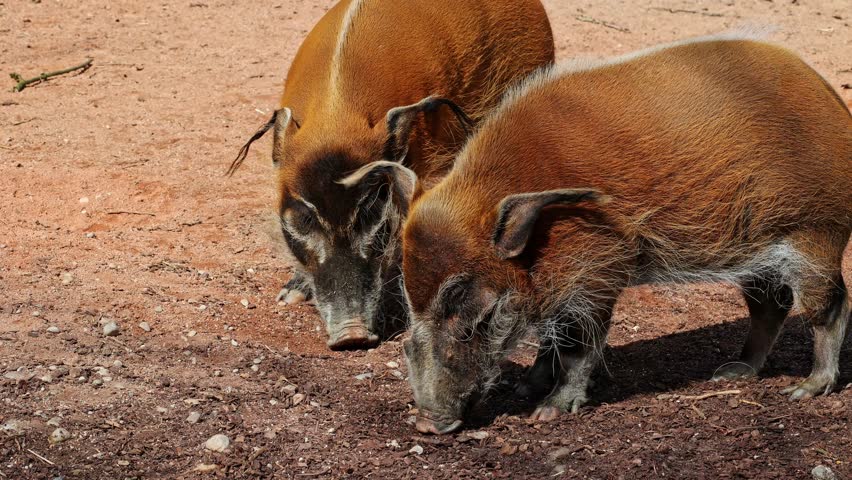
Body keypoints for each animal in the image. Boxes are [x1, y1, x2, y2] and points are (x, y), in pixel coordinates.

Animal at [367, 33, 850, 433]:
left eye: (471, 311)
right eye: (411, 302)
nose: (427, 425)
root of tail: (831, 96)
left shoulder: (595, 273)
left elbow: (578, 343)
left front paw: (547, 411)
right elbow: (551, 337)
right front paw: (526, 388)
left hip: (816, 235)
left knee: (829, 307)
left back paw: (806, 389)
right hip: (761, 255)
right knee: (771, 307)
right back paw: (733, 371)